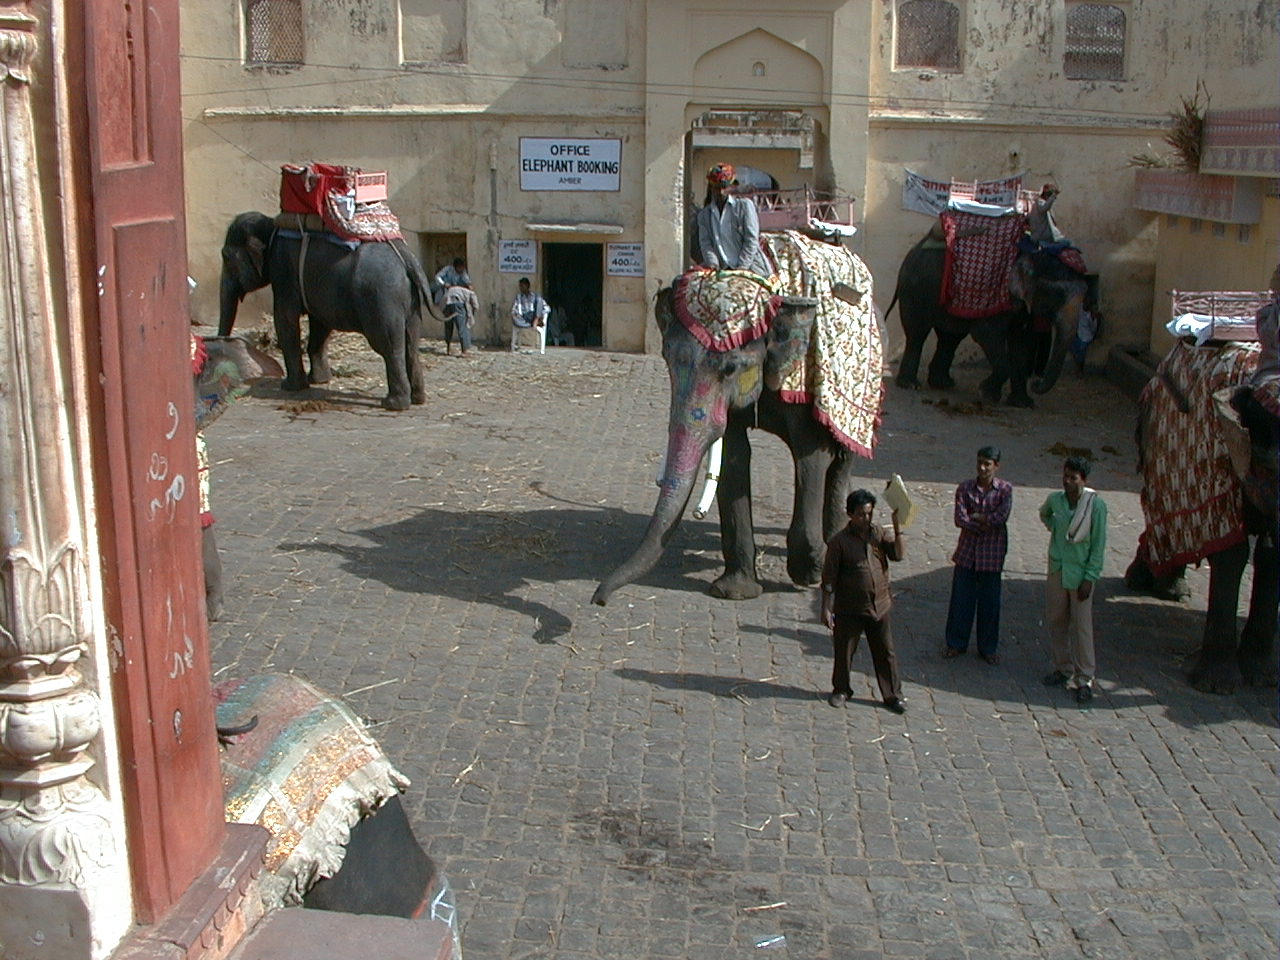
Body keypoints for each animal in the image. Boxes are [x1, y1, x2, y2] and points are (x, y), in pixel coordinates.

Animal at [217, 212, 437, 412]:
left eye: (227, 258)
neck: (271, 226)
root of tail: (407, 258)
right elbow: (320, 324)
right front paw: (318, 380)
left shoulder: (283, 272)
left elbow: (285, 319)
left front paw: (290, 386)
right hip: (409, 302)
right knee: (411, 344)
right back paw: (418, 399)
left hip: (381, 299)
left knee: (389, 347)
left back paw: (394, 404)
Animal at [593, 231, 885, 604]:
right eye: (667, 360)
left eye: (730, 367)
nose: (599, 598)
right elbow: (733, 456)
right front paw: (733, 592)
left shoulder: (802, 370)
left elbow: (810, 455)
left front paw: (809, 572)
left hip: (864, 389)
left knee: (842, 455)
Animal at [890, 216, 1090, 407]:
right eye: (1057, 294)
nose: (1036, 383)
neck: (1033, 252)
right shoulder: (999, 293)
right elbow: (986, 334)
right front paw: (987, 393)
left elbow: (1020, 341)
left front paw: (1023, 404)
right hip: (915, 289)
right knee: (918, 332)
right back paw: (911, 384)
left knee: (951, 336)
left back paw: (943, 384)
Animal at [1126, 304, 1274, 696]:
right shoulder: (1216, 448)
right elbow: (1229, 548)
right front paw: (1217, 685)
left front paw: (1261, 676)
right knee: (1164, 510)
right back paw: (1152, 583)